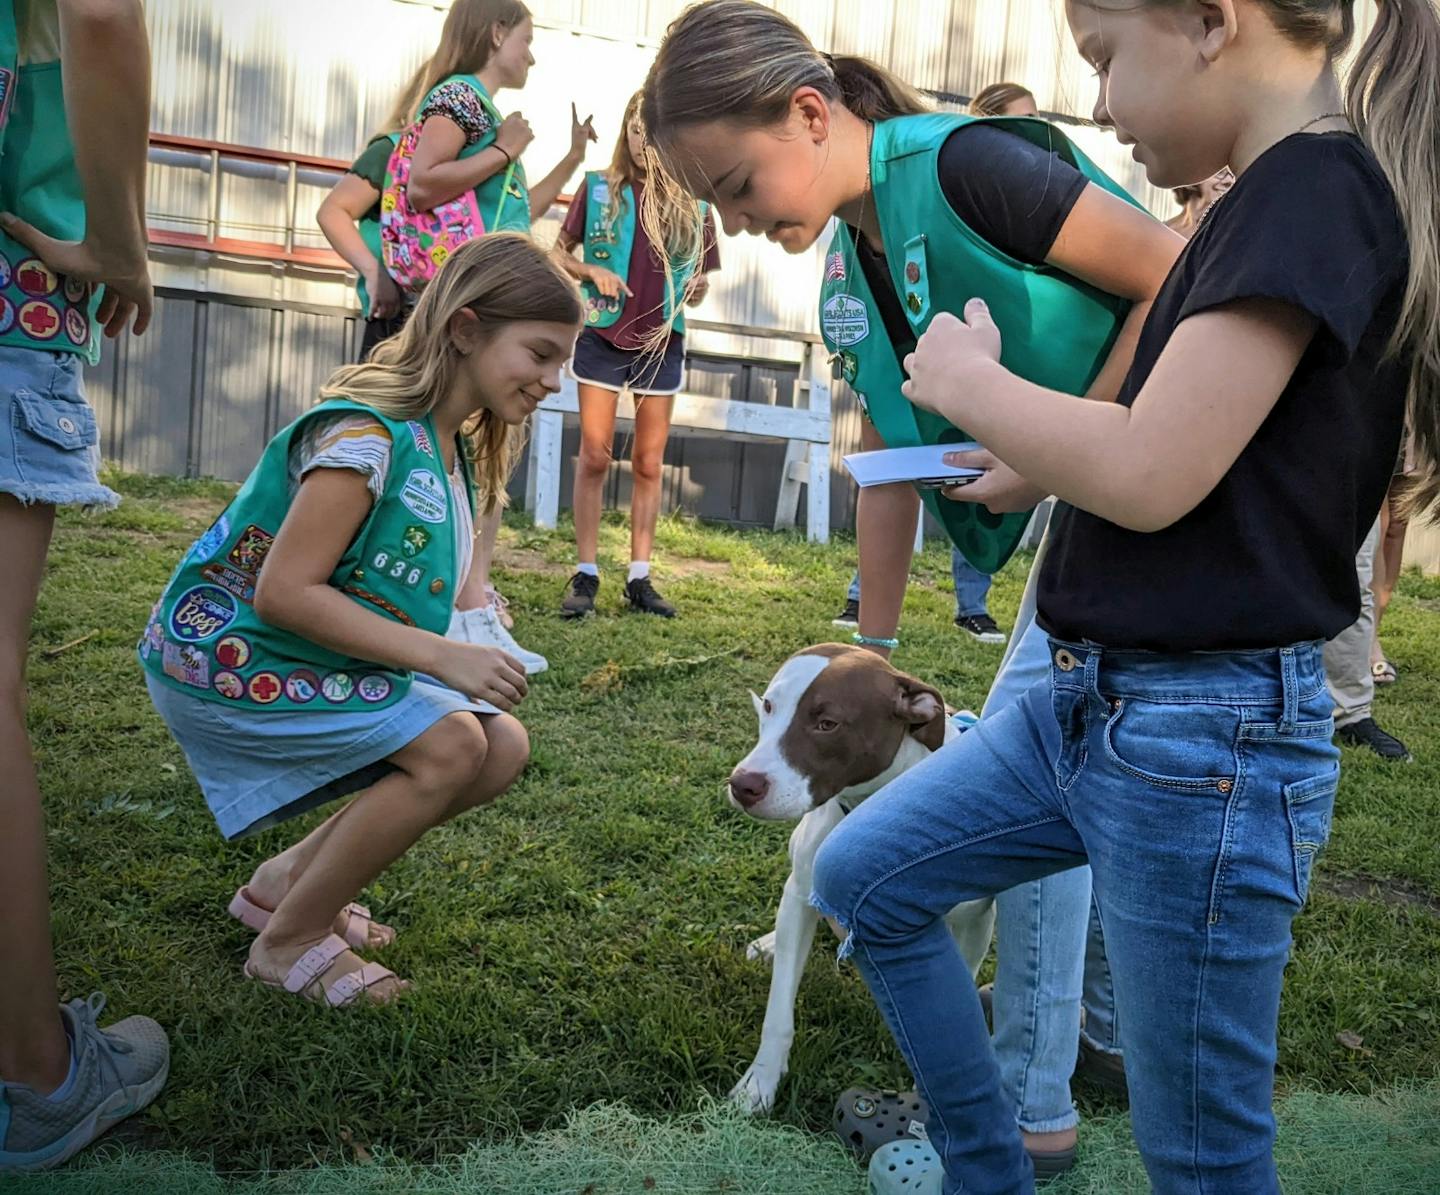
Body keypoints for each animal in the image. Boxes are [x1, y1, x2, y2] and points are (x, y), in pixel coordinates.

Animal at [725, 645, 996, 1111]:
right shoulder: (804, 892)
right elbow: (778, 1011)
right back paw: (772, 943)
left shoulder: (975, 922)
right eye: (769, 706)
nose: (743, 784)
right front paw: (759, 1083)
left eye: (827, 724)